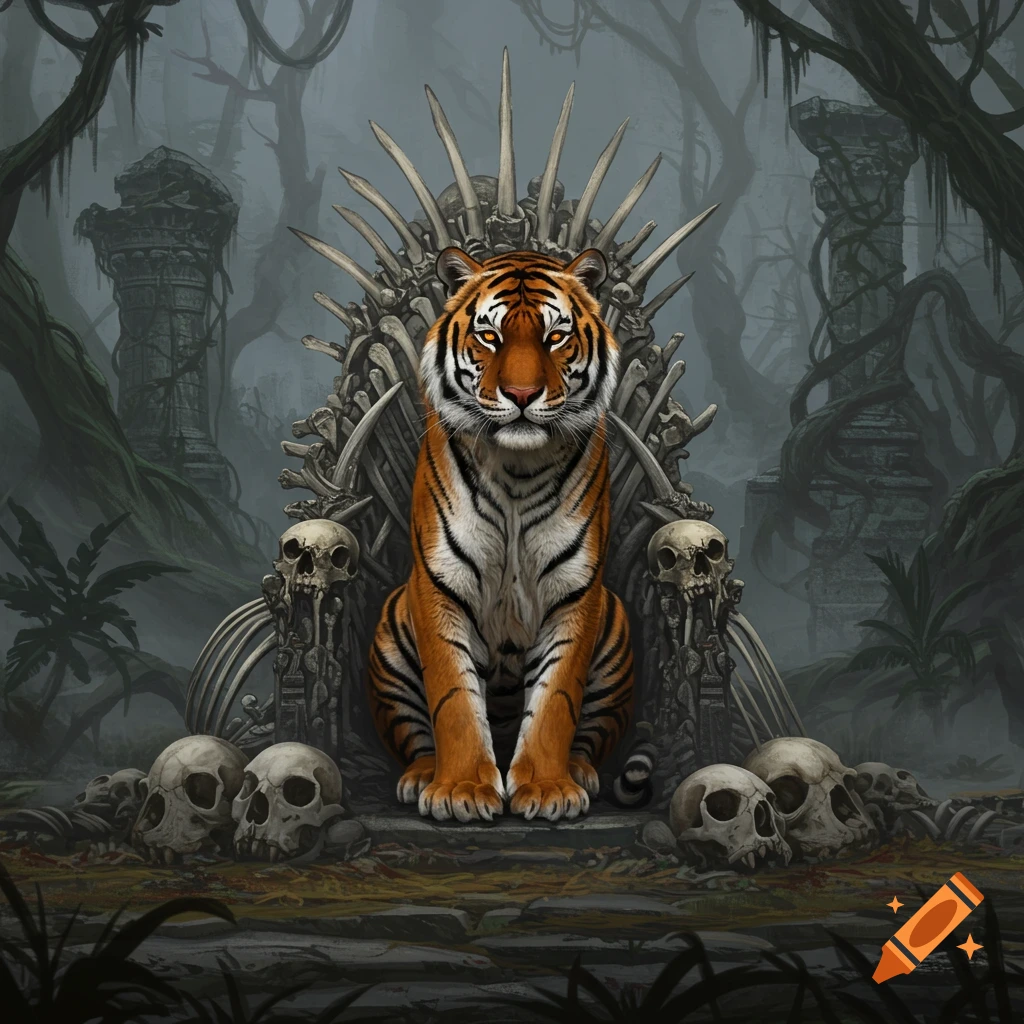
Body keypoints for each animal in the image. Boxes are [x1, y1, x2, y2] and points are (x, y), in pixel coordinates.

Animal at [367, 245, 635, 823]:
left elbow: (557, 699)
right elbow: (453, 699)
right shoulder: (439, 585)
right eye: (489, 335)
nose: (521, 393)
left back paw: (579, 771)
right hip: (393, 623)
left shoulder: (576, 592)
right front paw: (462, 790)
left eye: (555, 336)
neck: (517, 468)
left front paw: (549, 789)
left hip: (615, 618)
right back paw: (421, 777)